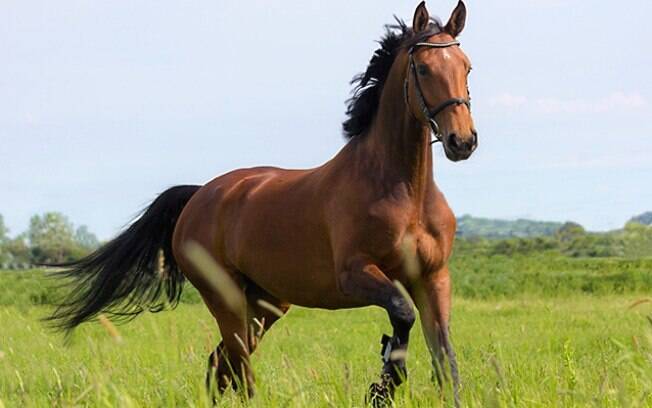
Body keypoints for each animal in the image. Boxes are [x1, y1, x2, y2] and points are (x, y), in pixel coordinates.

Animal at [48, 2, 478, 404]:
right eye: (422, 68)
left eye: (467, 67)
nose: (462, 141)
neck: (406, 192)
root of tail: (199, 195)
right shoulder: (356, 273)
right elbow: (402, 314)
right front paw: (385, 381)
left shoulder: (432, 277)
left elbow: (446, 359)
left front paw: (394, 381)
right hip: (226, 299)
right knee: (238, 367)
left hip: (265, 304)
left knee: (219, 364)